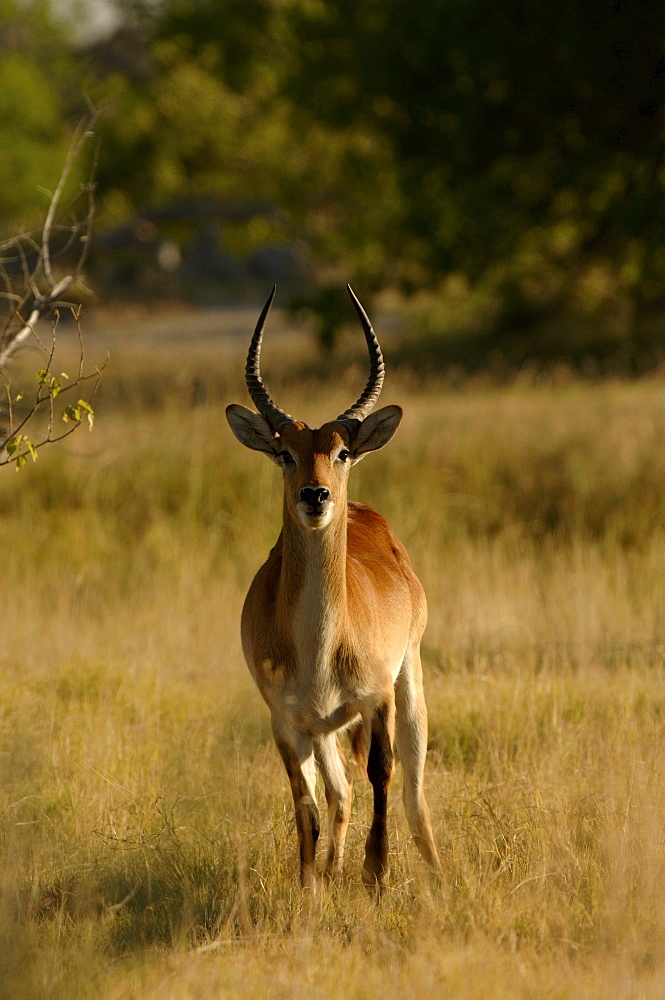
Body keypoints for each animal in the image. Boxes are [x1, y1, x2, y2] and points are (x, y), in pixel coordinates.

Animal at [226, 288, 438, 892]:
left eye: (342, 452)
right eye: (284, 452)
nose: (315, 495)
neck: (319, 646)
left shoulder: (377, 698)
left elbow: (382, 776)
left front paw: (376, 874)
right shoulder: (287, 721)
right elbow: (308, 807)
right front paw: (309, 889)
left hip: (410, 686)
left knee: (413, 794)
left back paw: (437, 876)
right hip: (322, 728)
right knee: (339, 793)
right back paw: (330, 870)